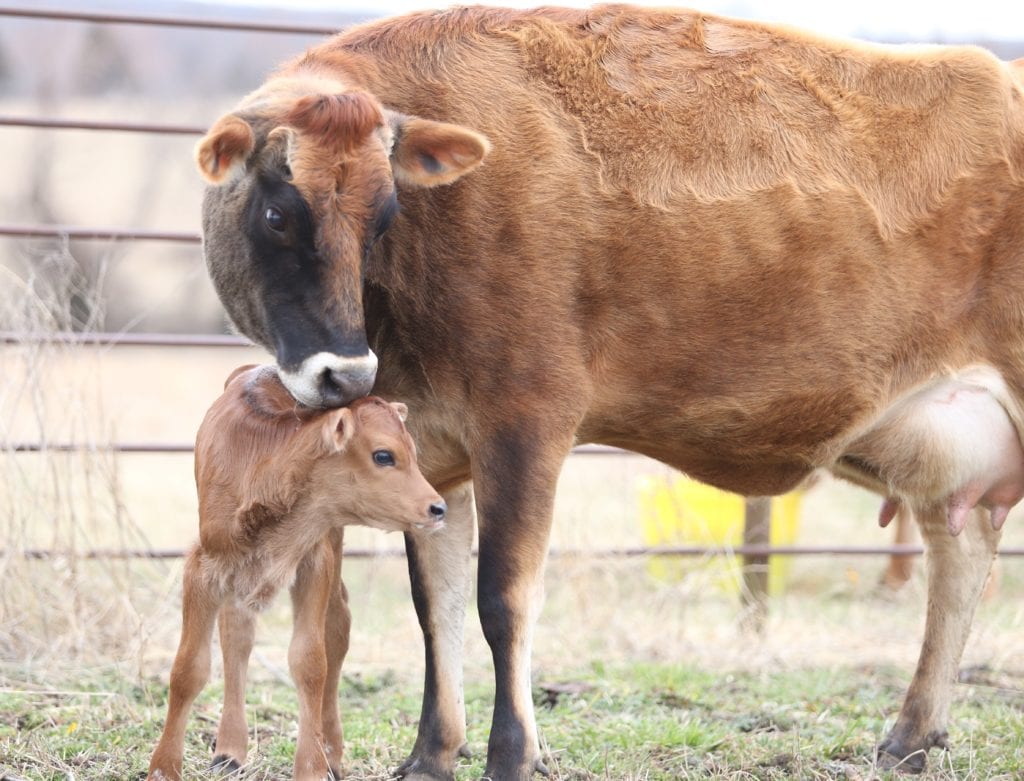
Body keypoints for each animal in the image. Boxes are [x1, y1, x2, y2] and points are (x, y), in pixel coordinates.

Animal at [145, 366, 444, 781]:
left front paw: (313, 765)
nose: (438, 508)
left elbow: (310, 662)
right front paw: (163, 767)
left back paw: (330, 750)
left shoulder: (314, 563)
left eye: (413, 453)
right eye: (384, 455)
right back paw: (230, 750)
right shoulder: (203, 567)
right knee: (236, 634)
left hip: (332, 549)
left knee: (336, 629)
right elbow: (189, 667)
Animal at [190, 7, 1024, 781]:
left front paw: (512, 753)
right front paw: (432, 754)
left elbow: (502, 596)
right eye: (277, 213)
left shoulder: (525, 419)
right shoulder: (429, 446)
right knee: (961, 552)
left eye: (384, 215)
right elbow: (438, 603)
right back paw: (912, 733)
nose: (348, 375)